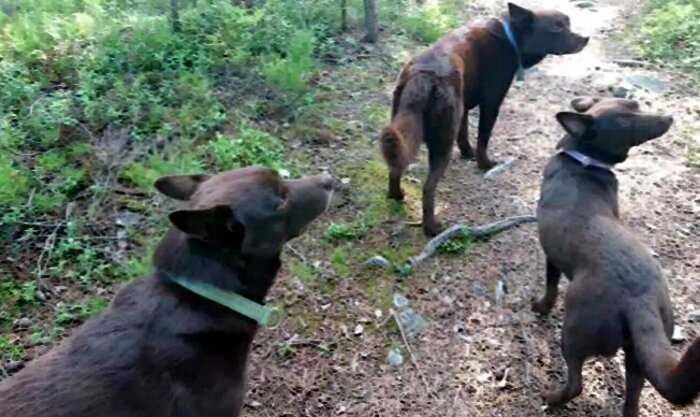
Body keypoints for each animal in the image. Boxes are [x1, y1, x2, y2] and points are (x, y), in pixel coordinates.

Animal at [382, 3, 592, 234]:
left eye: (568, 23)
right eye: (557, 27)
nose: (586, 38)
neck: (510, 37)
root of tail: (424, 76)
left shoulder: (465, 106)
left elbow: (465, 133)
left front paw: (467, 152)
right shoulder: (491, 104)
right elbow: (483, 138)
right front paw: (485, 164)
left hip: (402, 126)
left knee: (395, 166)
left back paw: (396, 195)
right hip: (442, 141)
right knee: (428, 186)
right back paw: (432, 227)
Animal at [532, 98, 696, 416]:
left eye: (636, 104)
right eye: (626, 120)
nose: (668, 117)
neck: (583, 159)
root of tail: (639, 301)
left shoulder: (551, 257)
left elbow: (550, 286)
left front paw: (540, 307)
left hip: (576, 331)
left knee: (575, 384)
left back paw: (550, 397)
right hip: (639, 356)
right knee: (632, 401)